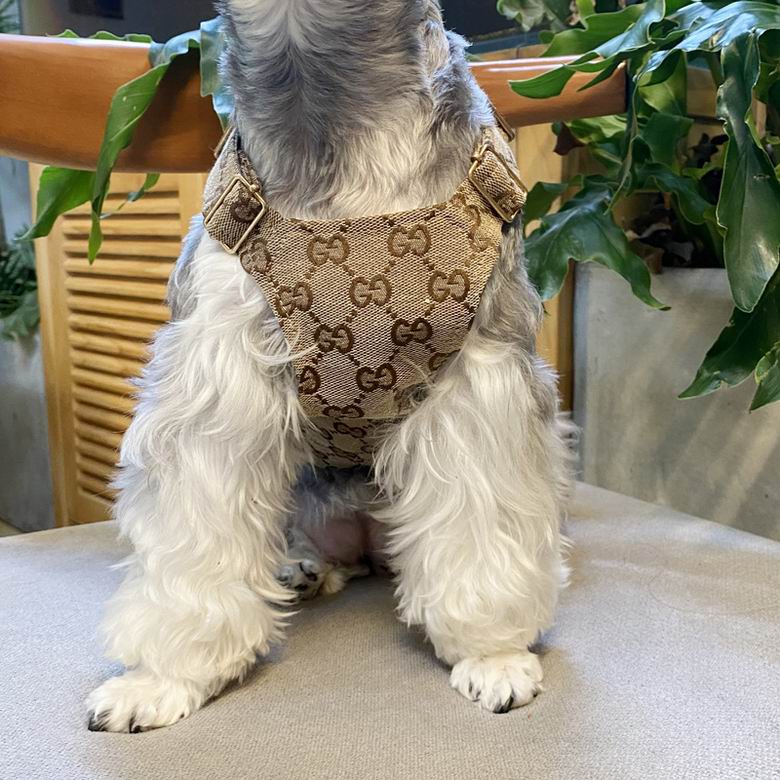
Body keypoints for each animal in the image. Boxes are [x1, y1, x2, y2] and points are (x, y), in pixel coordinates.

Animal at [86, 0, 571, 732]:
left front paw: (492, 652)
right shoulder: (218, 373)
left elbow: (482, 516)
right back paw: (303, 568)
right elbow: (195, 529)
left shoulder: (479, 372)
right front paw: (165, 676)